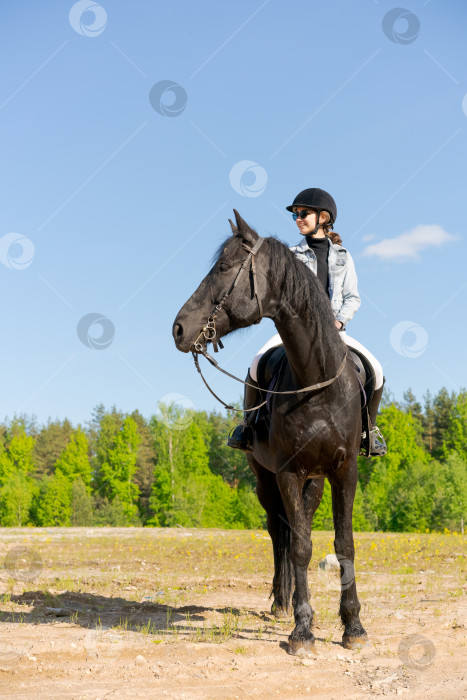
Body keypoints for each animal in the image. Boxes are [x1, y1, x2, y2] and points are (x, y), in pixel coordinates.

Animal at [172, 211, 370, 652]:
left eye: (223, 267)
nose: (178, 328)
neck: (316, 382)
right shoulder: (287, 472)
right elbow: (299, 546)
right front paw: (302, 629)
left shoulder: (343, 472)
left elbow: (343, 544)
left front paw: (353, 626)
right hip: (264, 479)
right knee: (280, 533)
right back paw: (284, 602)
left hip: (314, 482)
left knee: (298, 528)